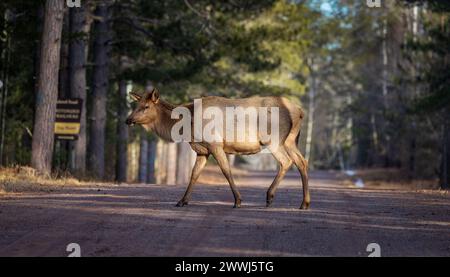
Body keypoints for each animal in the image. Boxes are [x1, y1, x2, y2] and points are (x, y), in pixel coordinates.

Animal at [126, 88, 310, 209]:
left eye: (146, 106)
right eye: (135, 105)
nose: (128, 120)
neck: (186, 127)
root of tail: (300, 111)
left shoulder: (215, 144)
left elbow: (226, 171)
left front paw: (238, 201)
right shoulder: (202, 150)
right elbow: (194, 174)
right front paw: (182, 201)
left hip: (274, 139)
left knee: (286, 161)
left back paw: (270, 196)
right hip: (291, 140)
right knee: (302, 161)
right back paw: (304, 203)